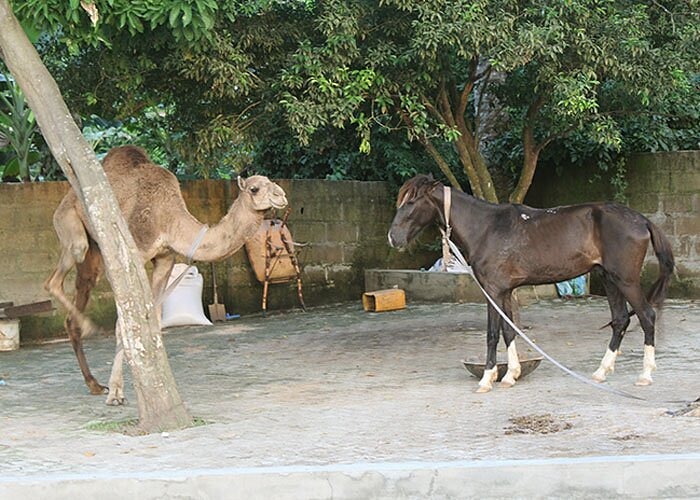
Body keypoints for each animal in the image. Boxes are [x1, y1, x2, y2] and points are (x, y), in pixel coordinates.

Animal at [45, 145, 288, 405]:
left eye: (271, 181)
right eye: (255, 188)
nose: (282, 195)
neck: (168, 218)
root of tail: (67, 196)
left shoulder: (164, 260)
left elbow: (155, 320)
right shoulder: (130, 253)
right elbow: (124, 324)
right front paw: (117, 392)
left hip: (94, 252)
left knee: (77, 292)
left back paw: (94, 383)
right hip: (70, 226)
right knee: (55, 279)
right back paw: (91, 334)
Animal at [388, 174, 674, 393]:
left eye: (412, 201)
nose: (393, 238)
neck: (486, 228)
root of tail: (641, 220)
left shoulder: (493, 291)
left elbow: (492, 334)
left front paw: (487, 379)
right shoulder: (504, 292)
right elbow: (508, 331)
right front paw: (510, 375)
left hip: (625, 281)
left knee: (646, 316)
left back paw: (645, 375)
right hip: (609, 280)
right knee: (620, 320)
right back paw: (601, 372)